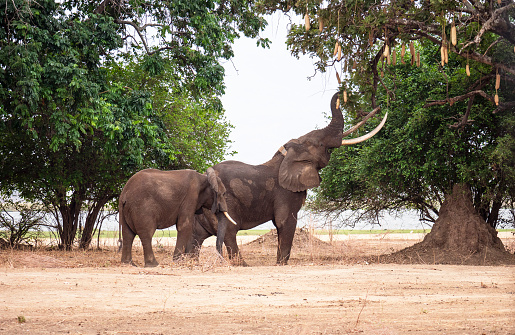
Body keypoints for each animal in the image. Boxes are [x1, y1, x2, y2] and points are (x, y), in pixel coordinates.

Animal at [192, 93, 388, 266]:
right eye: (321, 144)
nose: (380, 107)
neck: (287, 155)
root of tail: (206, 174)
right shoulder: (286, 193)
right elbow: (285, 222)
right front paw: (281, 264)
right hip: (225, 201)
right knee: (229, 232)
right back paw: (243, 265)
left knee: (197, 235)